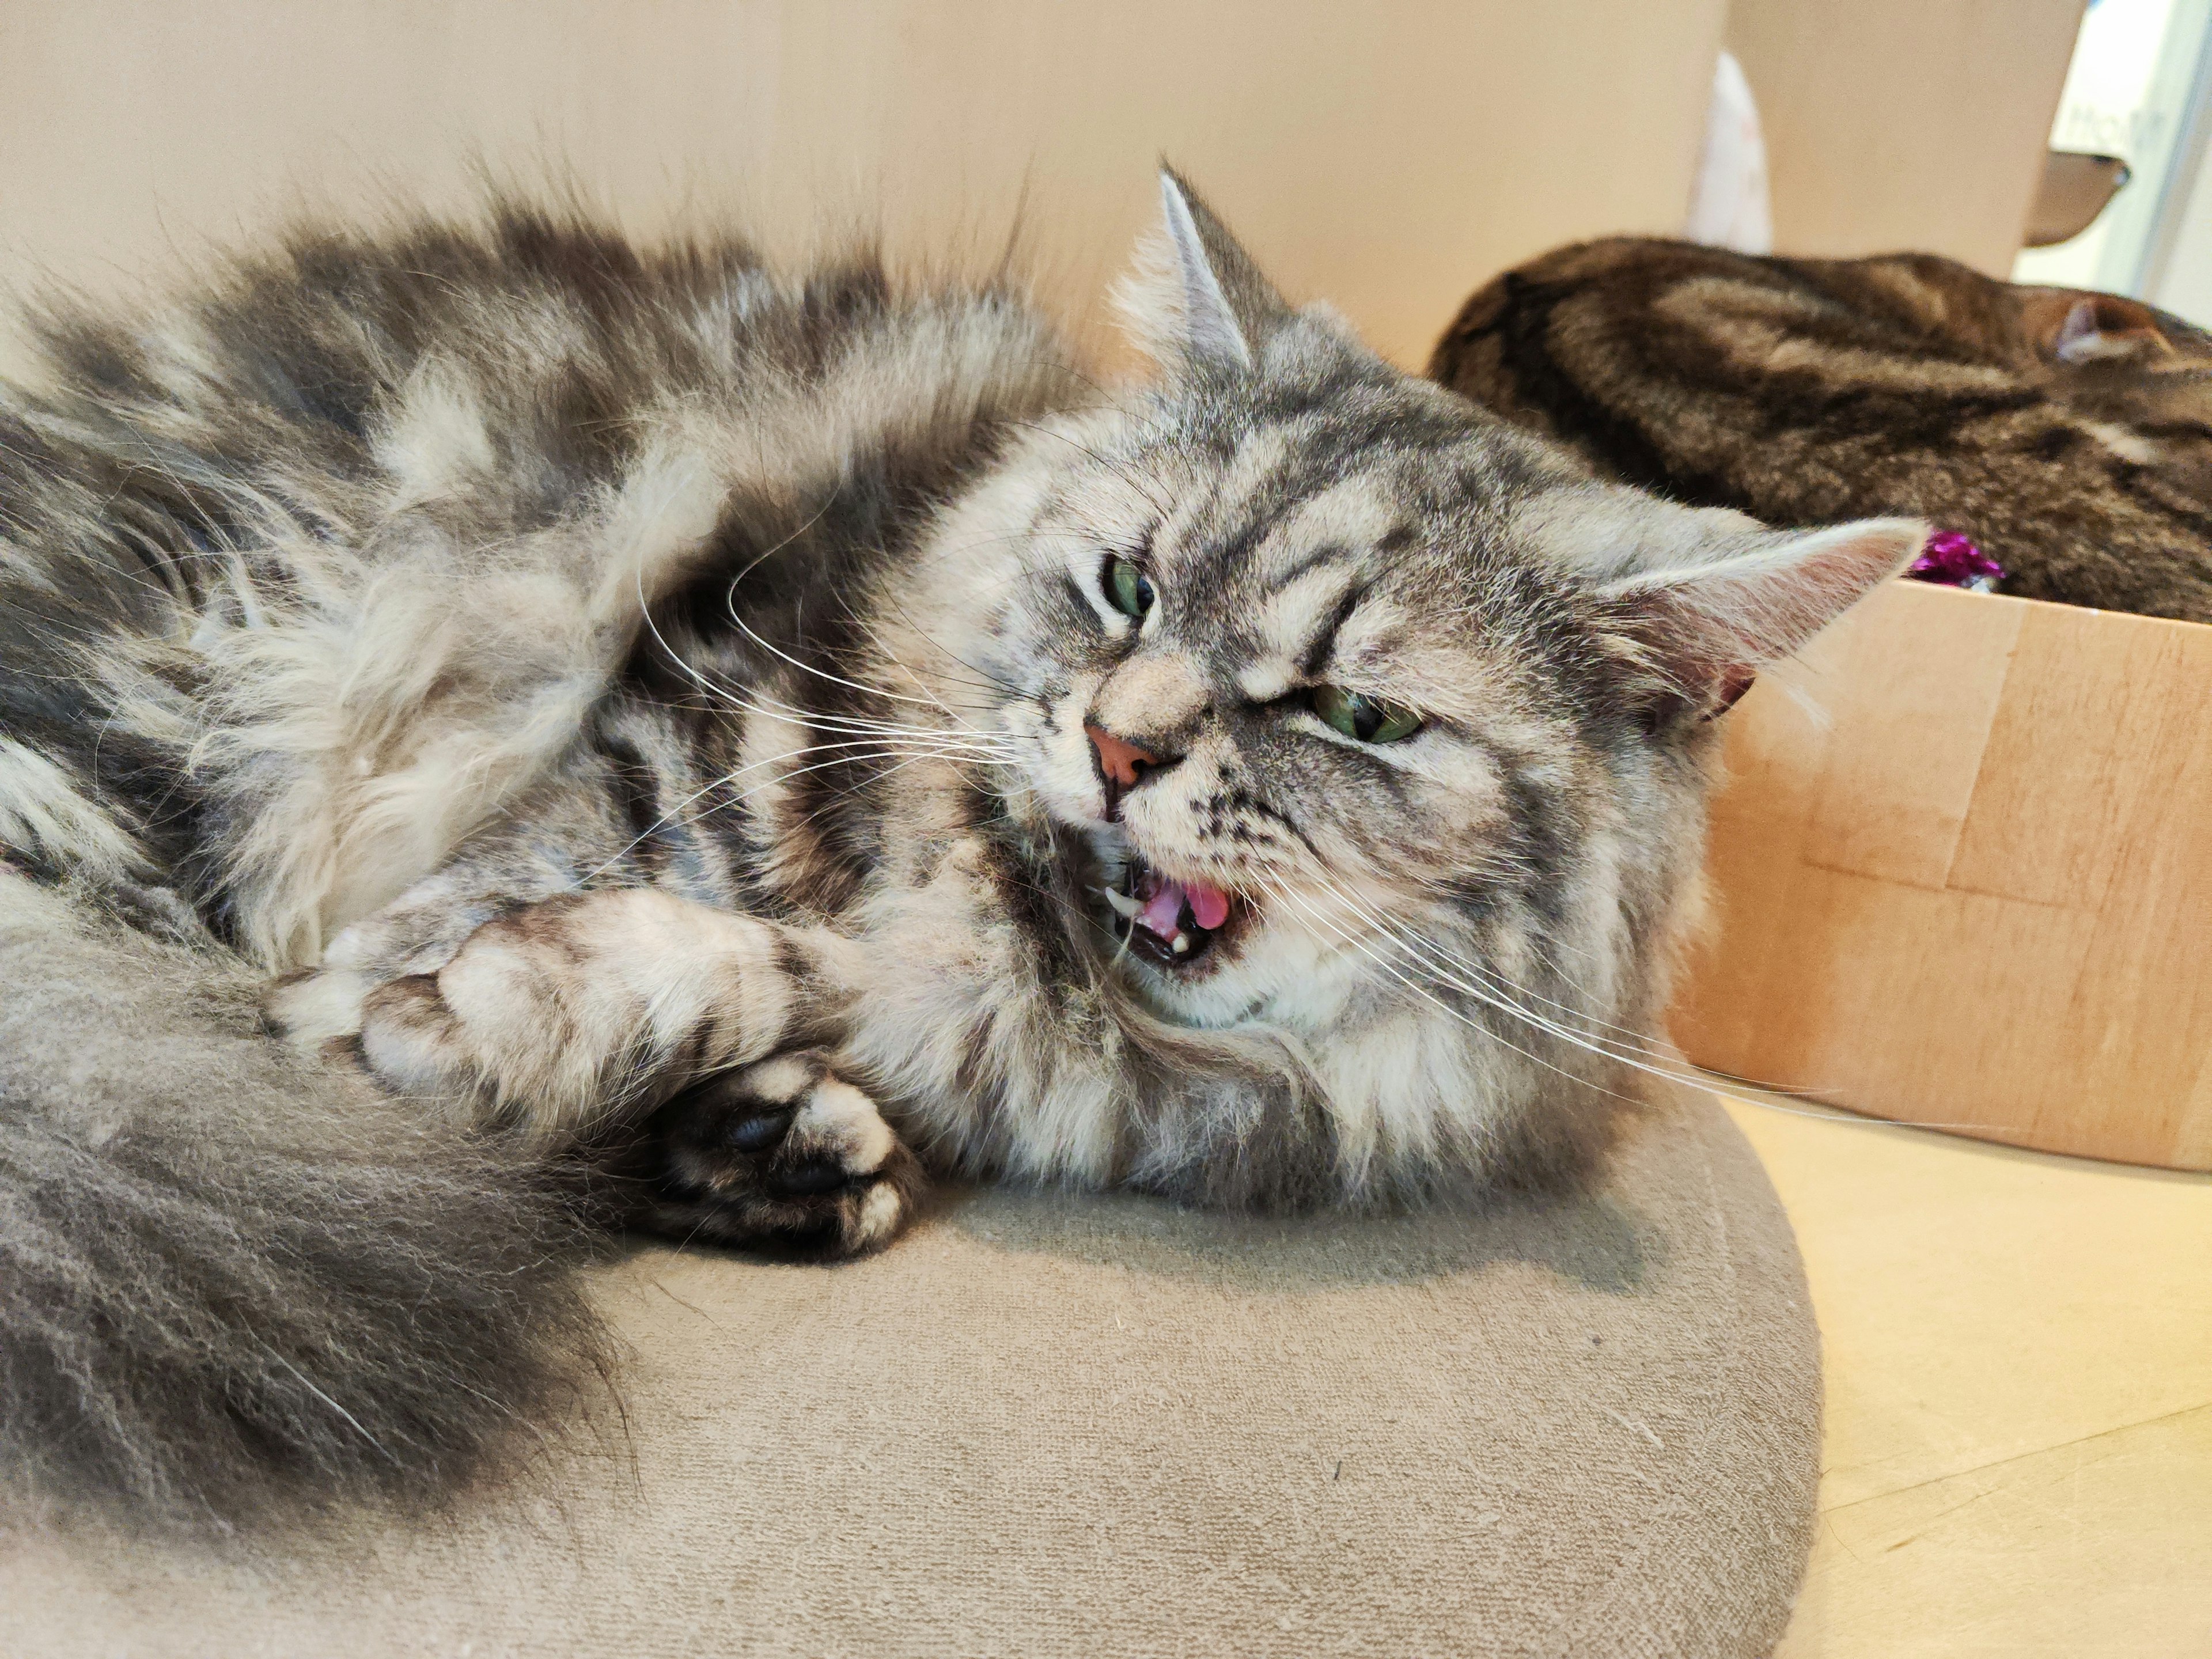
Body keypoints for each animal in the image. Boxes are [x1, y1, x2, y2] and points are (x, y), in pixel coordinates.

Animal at [0, 172, 1920, 1531]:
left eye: (1353, 715)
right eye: (1126, 586)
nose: (1120, 742)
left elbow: (757, 999)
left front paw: (695, 1099)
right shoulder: (659, 730)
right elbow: (504, 945)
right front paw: (447, 1021)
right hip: (164, 735)